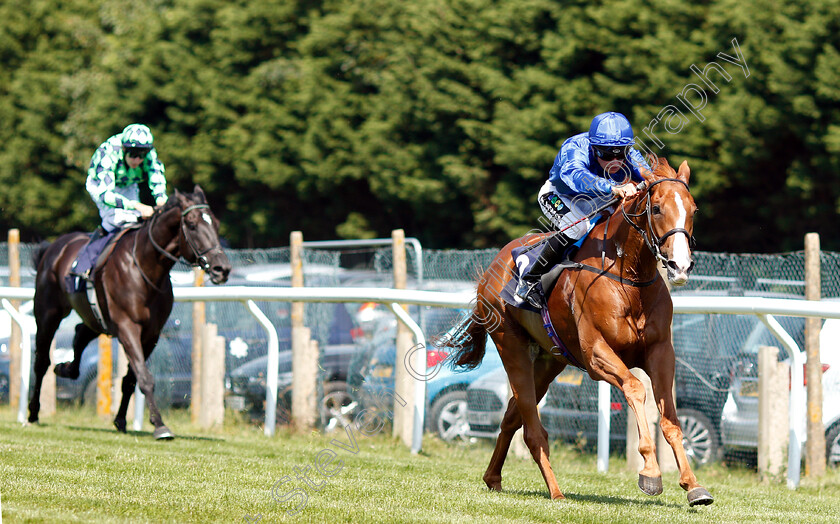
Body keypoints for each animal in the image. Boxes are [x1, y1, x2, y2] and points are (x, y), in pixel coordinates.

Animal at [26, 185, 230, 438]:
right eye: (192, 224)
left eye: (216, 223)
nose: (222, 268)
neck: (144, 268)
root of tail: (54, 246)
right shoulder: (127, 327)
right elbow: (144, 377)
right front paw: (160, 425)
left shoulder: (151, 334)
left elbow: (130, 380)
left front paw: (121, 420)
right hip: (48, 313)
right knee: (42, 361)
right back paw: (33, 413)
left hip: (97, 316)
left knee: (81, 332)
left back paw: (66, 368)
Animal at [442, 158, 712, 506]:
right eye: (656, 208)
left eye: (693, 209)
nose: (680, 266)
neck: (627, 277)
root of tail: (493, 267)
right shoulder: (597, 354)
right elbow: (635, 388)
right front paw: (650, 473)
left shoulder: (661, 352)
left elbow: (670, 421)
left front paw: (693, 485)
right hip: (511, 345)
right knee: (532, 428)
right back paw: (556, 492)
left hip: (549, 360)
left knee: (512, 415)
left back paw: (493, 478)